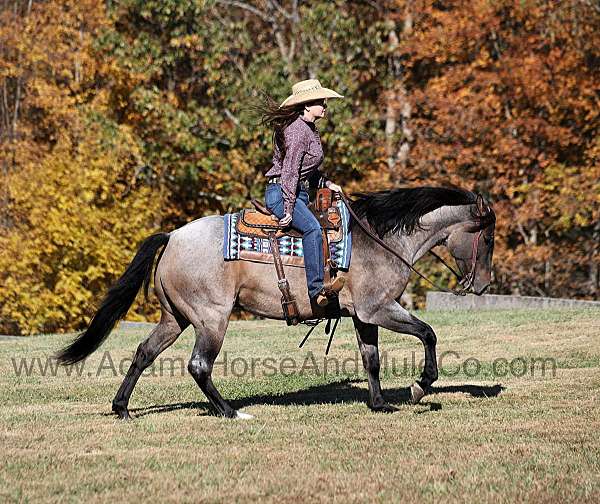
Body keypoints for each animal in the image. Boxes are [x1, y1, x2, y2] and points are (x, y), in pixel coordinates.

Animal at [57, 187, 496, 420]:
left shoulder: (364, 314)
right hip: (211, 319)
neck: (378, 239)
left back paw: (122, 407)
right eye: (488, 237)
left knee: (144, 352)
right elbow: (428, 333)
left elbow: (370, 358)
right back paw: (230, 412)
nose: (483, 285)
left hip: (175, 318)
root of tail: (174, 236)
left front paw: (379, 403)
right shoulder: (379, 308)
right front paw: (421, 386)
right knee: (199, 365)